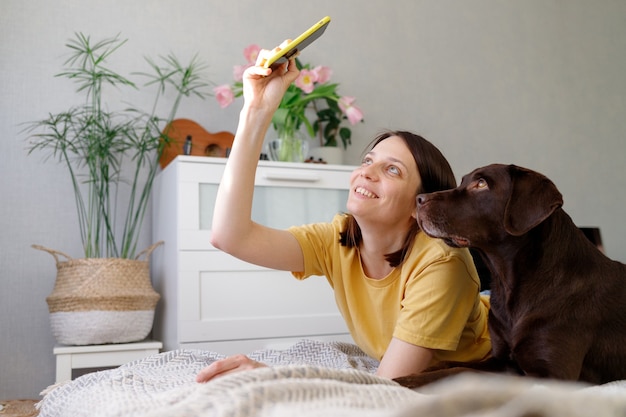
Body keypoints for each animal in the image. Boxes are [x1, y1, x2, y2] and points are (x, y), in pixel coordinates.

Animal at [394, 162, 624, 386]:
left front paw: (405, 380)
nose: (419, 199)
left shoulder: (553, 375)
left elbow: (461, 371)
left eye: (481, 184)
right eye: (463, 181)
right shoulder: (501, 359)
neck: (508, 282)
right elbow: (452, 364)